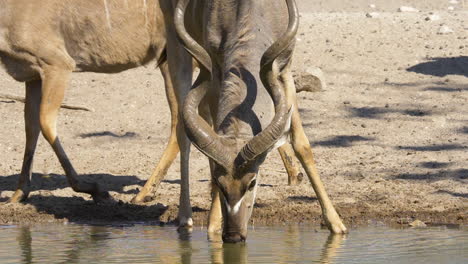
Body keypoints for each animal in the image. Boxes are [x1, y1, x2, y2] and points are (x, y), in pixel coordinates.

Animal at [0, 0, 304, 205]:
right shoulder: (33, 77)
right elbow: (30, 129)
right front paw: (18, 193)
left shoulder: (57, 65)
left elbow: (45, 124)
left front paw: (93, 188)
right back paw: (293, 174)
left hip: (175, 62)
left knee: (180, 123)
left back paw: (146, 192)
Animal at [176, 0, 348, 242]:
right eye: (221, 184)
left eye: (252, 183)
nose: (233, 236)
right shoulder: (216, 70)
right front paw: (213, 225)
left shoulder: (283, 69)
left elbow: (301, 143)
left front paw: (336, 223)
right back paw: (187, 217)